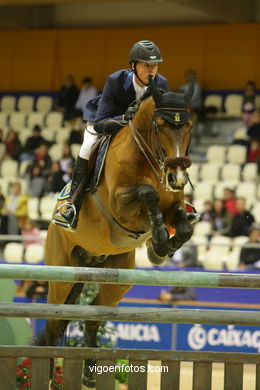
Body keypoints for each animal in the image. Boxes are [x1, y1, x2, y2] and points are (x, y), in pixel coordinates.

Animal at [35, 76, 195, 386]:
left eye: (189, 127)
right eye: (160, 126)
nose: (178, 178)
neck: (149, 158)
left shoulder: (174, 204)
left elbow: (183, 228)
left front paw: (161, 249)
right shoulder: (121, 205)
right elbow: (148, 194)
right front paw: (159, 240)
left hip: (116, 278)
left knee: (92, 318)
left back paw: (89, 373)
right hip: (61, 275)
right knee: (53, 323)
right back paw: (48, 377)